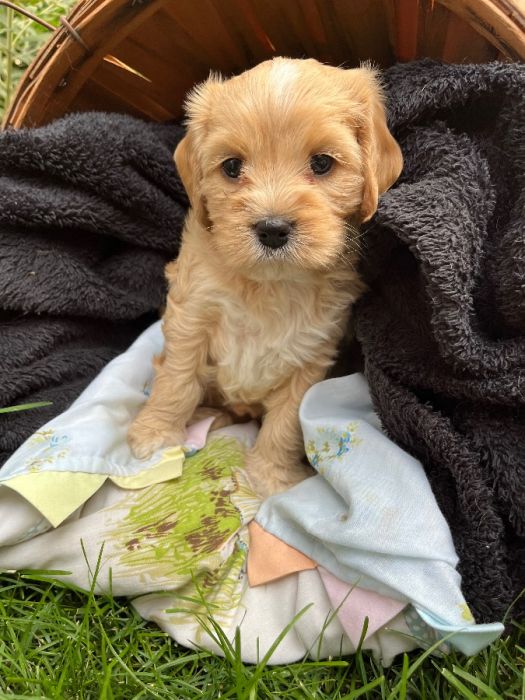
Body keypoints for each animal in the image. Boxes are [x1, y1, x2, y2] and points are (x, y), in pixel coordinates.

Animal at [129, 57, 404, 494]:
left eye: (322, 163)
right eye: (232, 167)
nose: (272, 229)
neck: (271, 283)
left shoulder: (313, 351)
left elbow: (287, 420)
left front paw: (271, 477)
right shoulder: (192, 313)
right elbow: (177, 378)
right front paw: (155, 434)